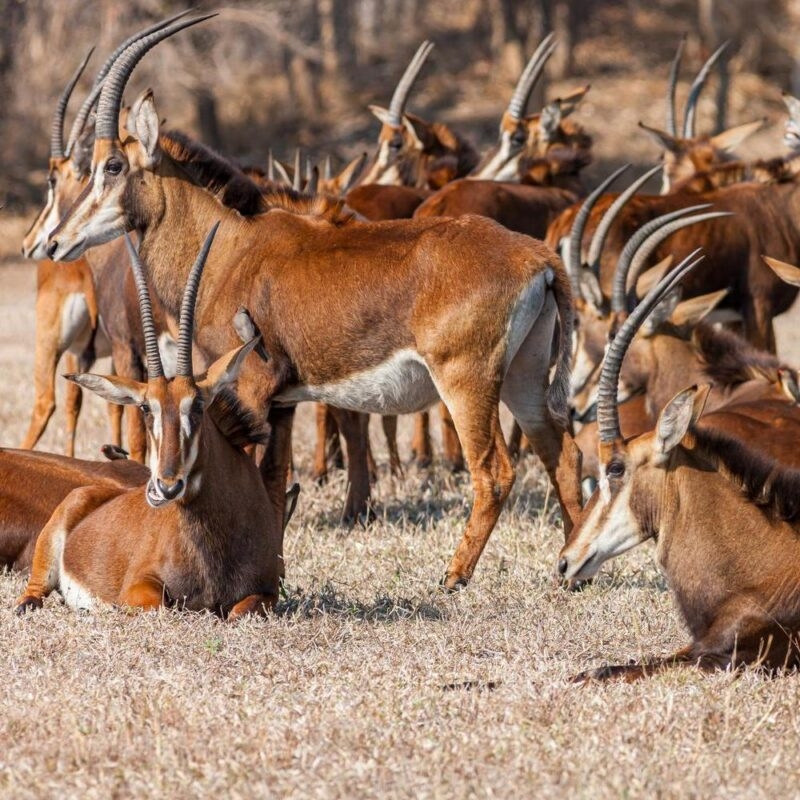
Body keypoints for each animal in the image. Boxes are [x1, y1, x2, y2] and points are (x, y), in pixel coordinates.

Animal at [16, 225, 284, 617]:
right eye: (146, 408)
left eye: (198, 405)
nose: (166, 487)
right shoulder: (138, 588)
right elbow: (164, 605)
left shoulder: (267, 592)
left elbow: (239, 609)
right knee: (33, 592)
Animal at [45, 17, 584, 590]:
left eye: (112, 166)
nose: (55, 243)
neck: (230, 246)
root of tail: (538, 257)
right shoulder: (281, 402)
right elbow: (275, 481)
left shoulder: (249, 386)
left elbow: (253, 473)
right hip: (525, 376)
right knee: (562, 454)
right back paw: (571, 567)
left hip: (467, 380)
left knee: (494, 470)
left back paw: (454, 577)